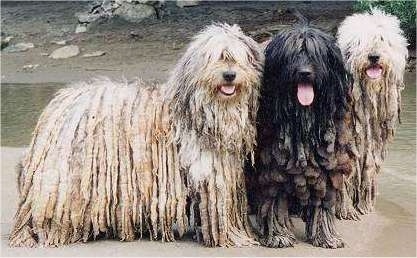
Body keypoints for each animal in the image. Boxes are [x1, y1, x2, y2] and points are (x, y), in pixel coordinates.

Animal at [8, 23, 264, 247]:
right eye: (217, 57)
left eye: (237, 58)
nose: (229, 75)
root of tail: (59, 102)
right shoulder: (210, 172)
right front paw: (233, 238)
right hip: (64, 176)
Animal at [334, 7, 406, 218]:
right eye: (359, 42)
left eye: (382, 39)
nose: (373, 56)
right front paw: (345, 209)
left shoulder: (370, 143)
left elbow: (367, 171)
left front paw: (364, 204)